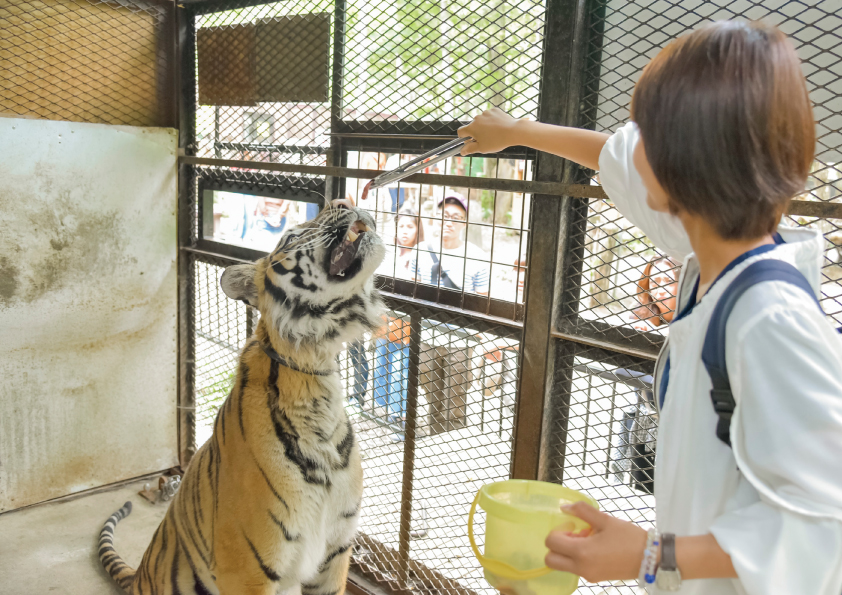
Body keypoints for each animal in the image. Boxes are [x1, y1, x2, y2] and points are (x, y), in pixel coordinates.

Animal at [98, 201, 384, 595]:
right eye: (290, 237)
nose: (343, 202)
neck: (313, 366)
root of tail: (138, 575)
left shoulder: (336, 551)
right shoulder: (248, 567)